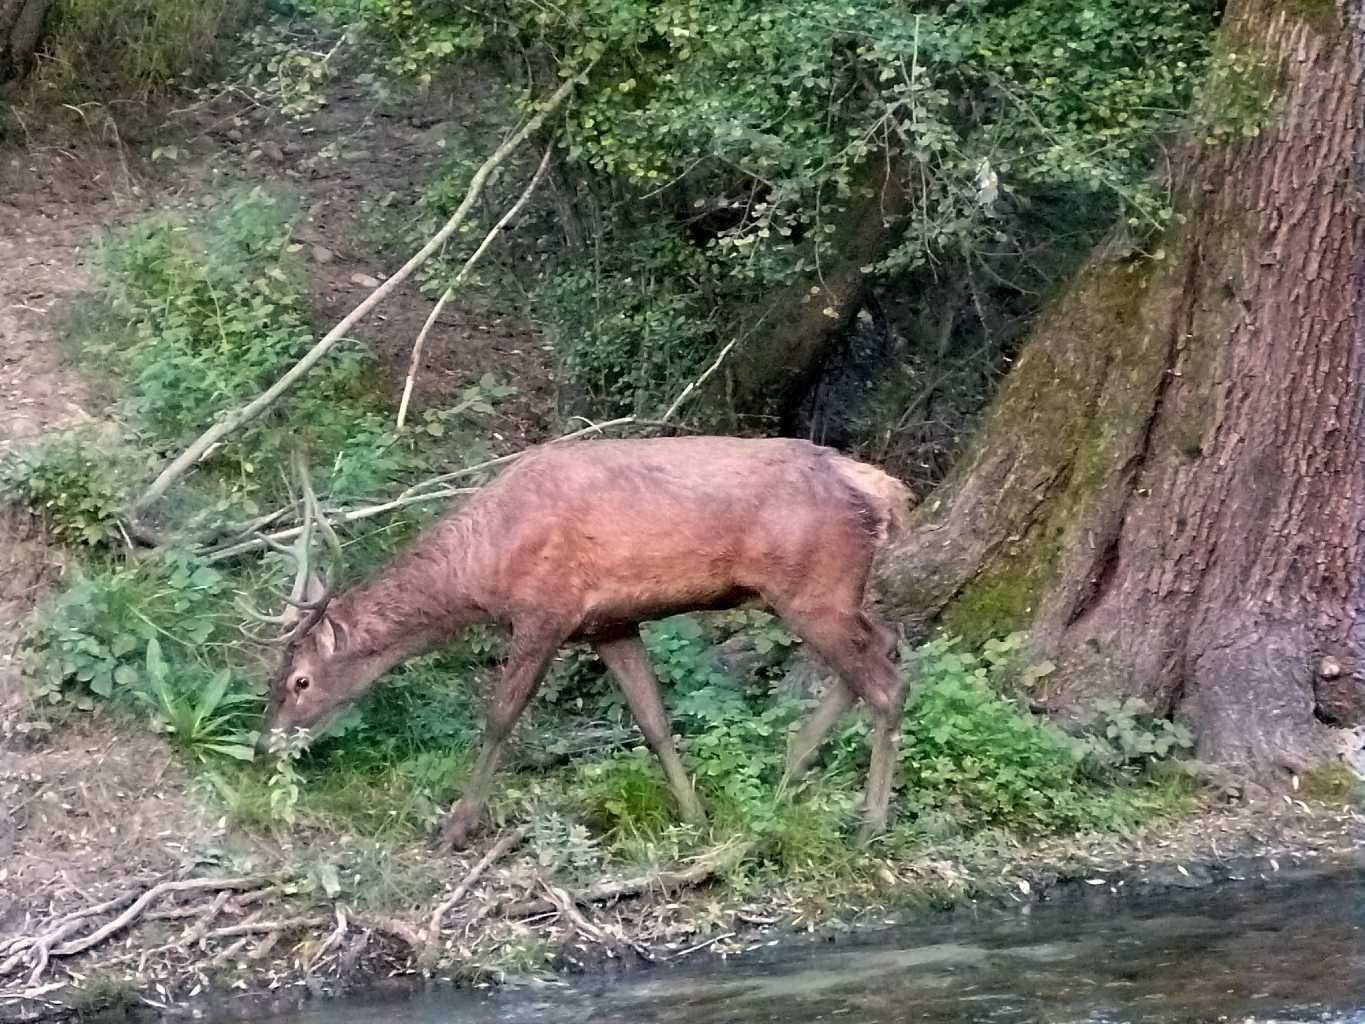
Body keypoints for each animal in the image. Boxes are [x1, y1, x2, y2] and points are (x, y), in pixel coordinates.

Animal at [248, 439, 917, 851]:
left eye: (300, 681)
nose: (262, 747)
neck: (482, 567)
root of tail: (885, 491)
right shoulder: (609, 625)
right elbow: (654, 721)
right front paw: (695, 818)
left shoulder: (545, 611)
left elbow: (500, 717)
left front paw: (455, 827)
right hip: (822, 595)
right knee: (884, 647)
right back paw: (789, 769)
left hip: (813, 587)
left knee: (887, 682)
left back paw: (869, 825)